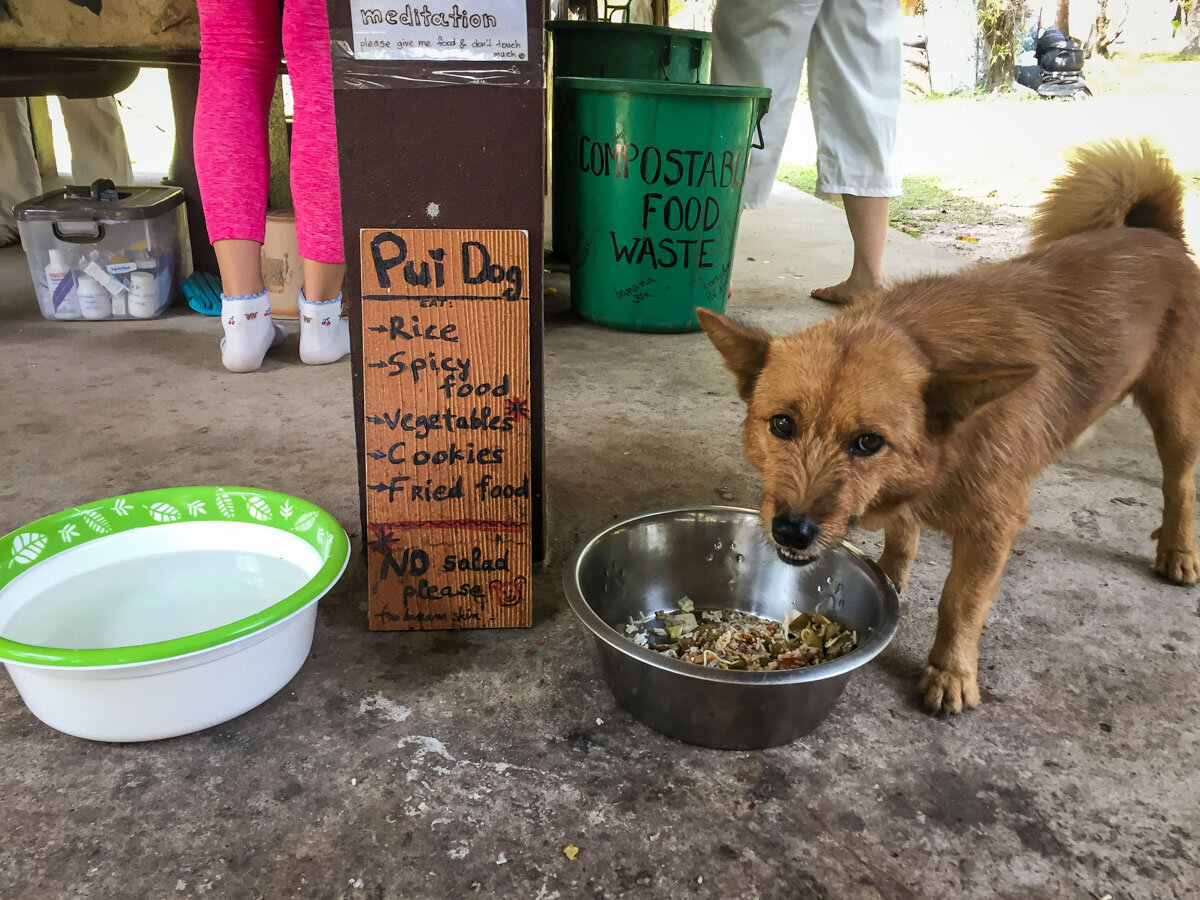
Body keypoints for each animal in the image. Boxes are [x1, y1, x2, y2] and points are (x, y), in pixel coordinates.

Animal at [700, 141, 1200, 715]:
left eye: (868, 442)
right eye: (782, 424)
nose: (791, 531)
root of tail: (1156, 233)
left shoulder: (993, 527)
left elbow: (960, 602)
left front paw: (951, 670)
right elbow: (903, 539)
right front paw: (892, 580)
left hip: (1176, 413)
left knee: (1180, 483)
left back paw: (1178, 550)